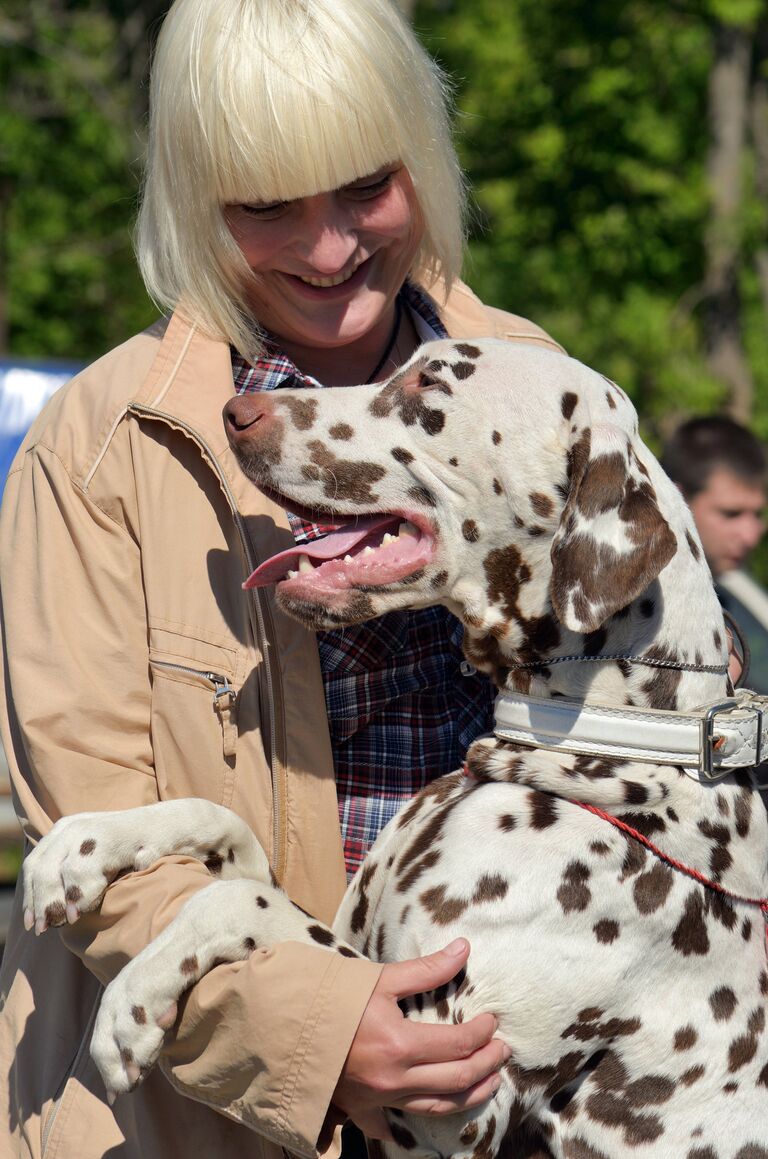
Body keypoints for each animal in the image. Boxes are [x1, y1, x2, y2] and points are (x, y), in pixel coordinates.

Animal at [22, 338, 768, 1154]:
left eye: (430, 384)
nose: (237, 410)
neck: (618, 749)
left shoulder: (450, 1084)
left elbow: (242, 897)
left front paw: (131, 1000)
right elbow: (226, 832)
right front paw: (82, 848)